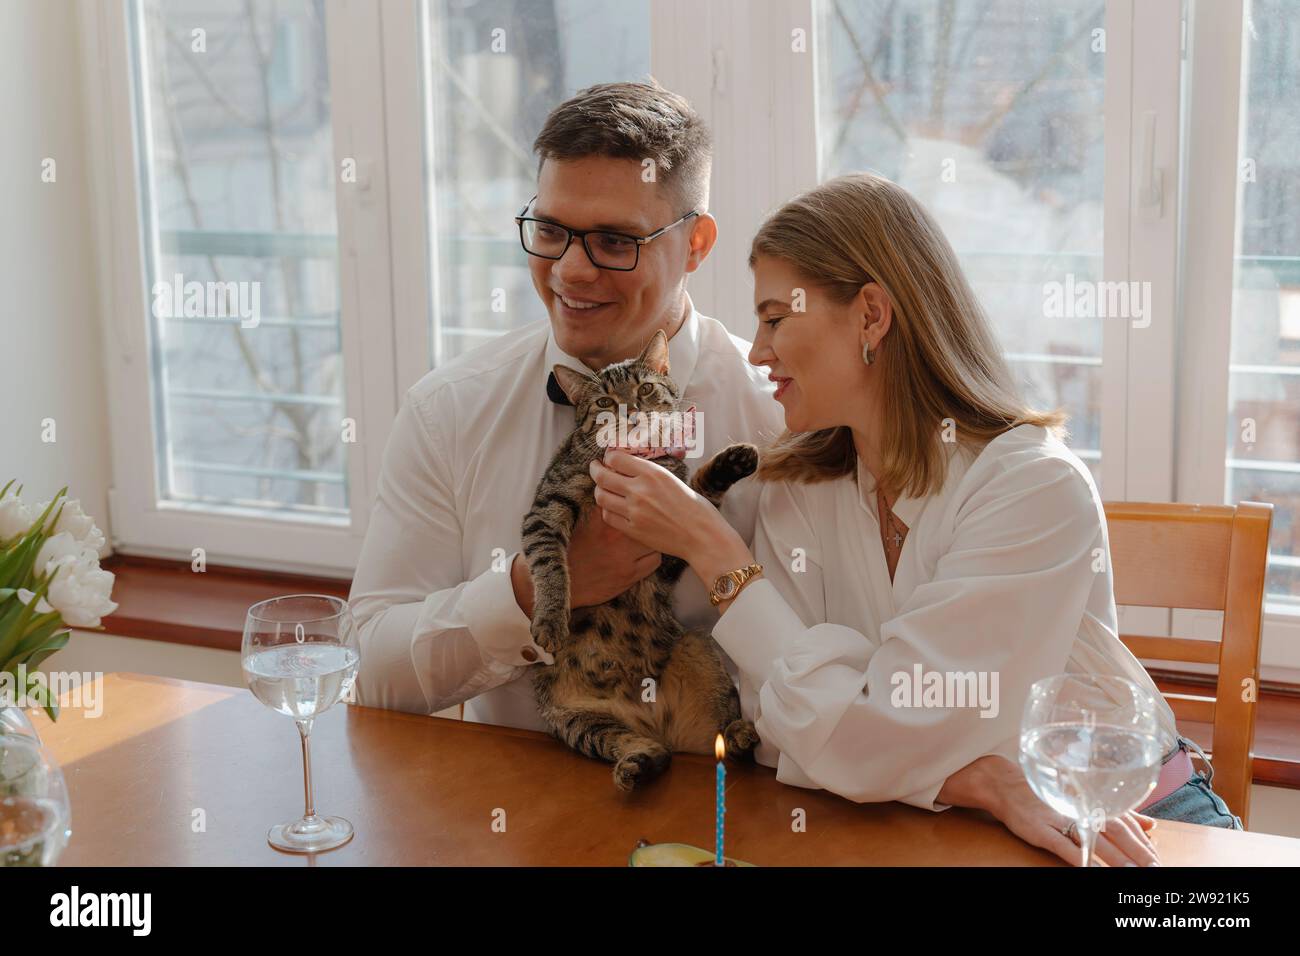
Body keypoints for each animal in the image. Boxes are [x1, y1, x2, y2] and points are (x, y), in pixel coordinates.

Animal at [520, 329, 759, 790]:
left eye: (644, 389)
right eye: (604, 402)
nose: (630, 411)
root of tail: (654, 721)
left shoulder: (666, 550)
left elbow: (700, 492)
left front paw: (731, 461)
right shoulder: (544, 510)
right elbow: (550, 564)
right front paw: (551, 619)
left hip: (699, 651)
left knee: (719, 739)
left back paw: (738, 734)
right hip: (576, 720)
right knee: (644, 748)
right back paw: (638, 762)